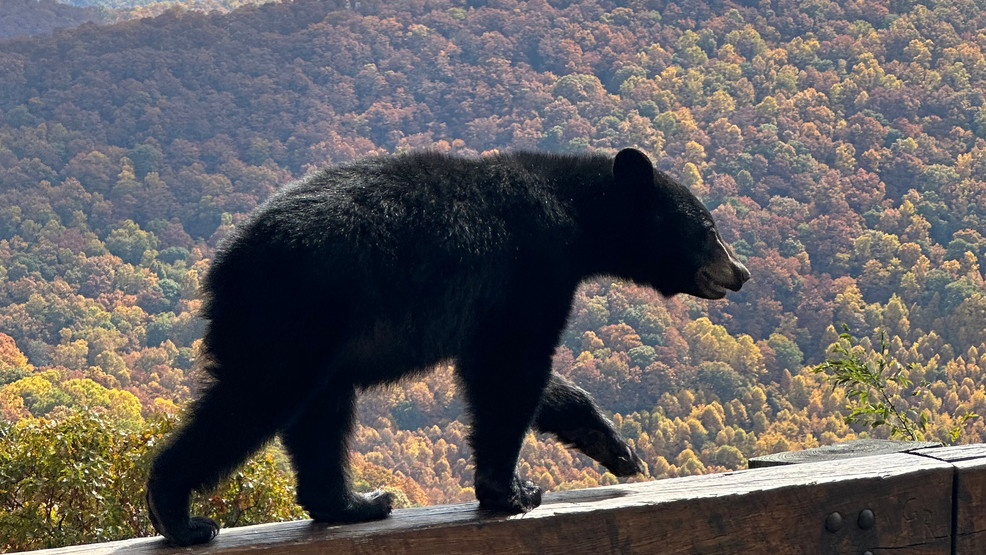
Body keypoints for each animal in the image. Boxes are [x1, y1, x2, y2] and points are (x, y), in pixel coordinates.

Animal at [145, 147, 750, 546]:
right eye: (708, 229)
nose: (740, 272)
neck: (574, 213)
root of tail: (224, 267)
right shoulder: (528, 268)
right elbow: (512, 368)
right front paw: (511, 490)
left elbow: (513, 369)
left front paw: (616, 448)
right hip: (291, 317)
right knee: (254, 398)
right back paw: (178, 514)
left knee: (321, 414)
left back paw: (354, 504)